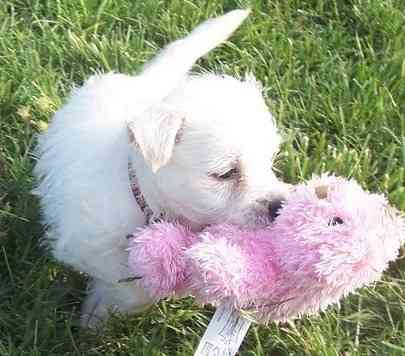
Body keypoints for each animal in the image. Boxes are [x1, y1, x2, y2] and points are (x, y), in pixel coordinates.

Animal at [34, 10, 288, 328]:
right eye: (225, 174)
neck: (142, 197)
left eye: (270, 161)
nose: (280, 206)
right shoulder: (87, 242)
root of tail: (144, 85)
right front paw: (96, 313)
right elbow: (134, 285)